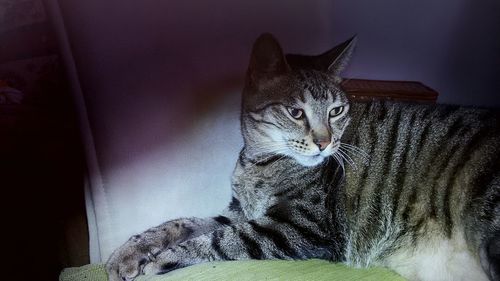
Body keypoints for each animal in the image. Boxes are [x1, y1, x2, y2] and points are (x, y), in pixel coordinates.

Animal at [106, 33, 500, 280]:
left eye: (337, 110)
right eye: (296, 112)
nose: (325, 143)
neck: (257, 161)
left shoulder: (299, 226)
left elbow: (219, 240)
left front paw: (162, 258)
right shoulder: (240, 211)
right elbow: (181, 223)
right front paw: (128, 253)